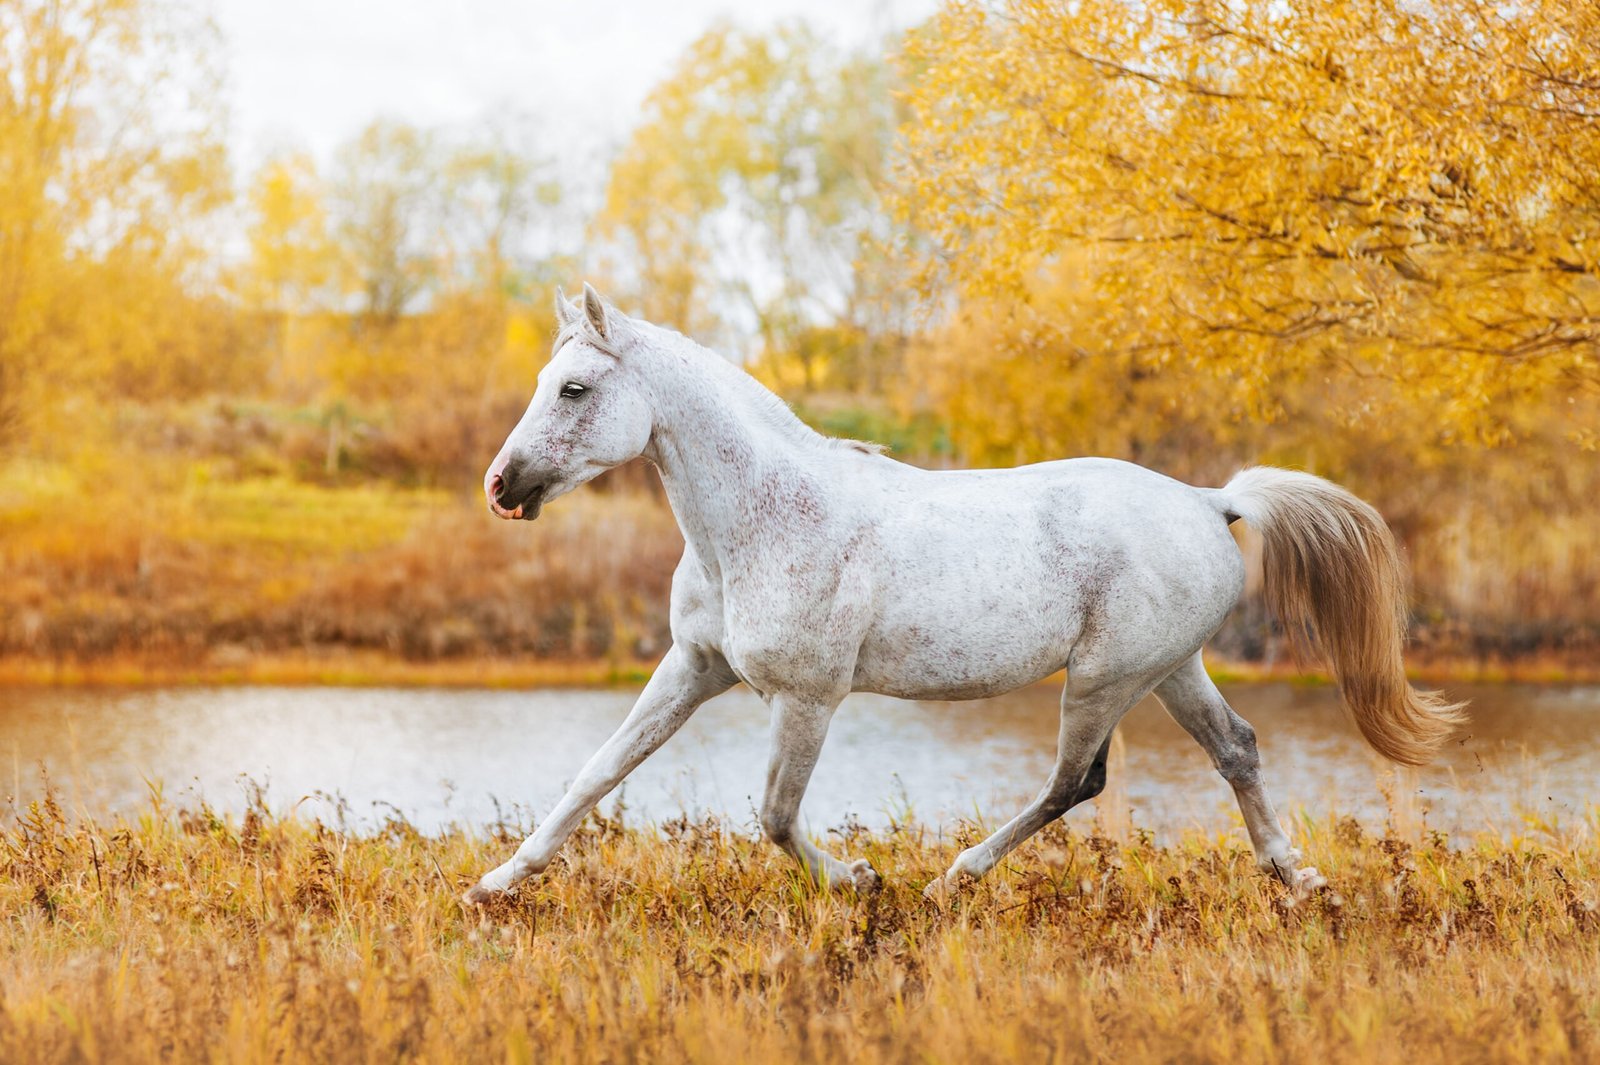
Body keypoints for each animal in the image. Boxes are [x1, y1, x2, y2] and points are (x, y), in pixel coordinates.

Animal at [460, 284, 1465, 901]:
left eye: (575, 387)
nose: (502, 488)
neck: (762, 521)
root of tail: (1210, 500)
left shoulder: (810, 696)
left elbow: (775, 814)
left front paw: (857, 879)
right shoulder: (695, 667)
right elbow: (598, 771)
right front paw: (497, 884)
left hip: (1105, 678)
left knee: (1076, 778)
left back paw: (956, 876)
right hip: (1172, 668)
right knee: (1237, 749)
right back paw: (1296, 878)